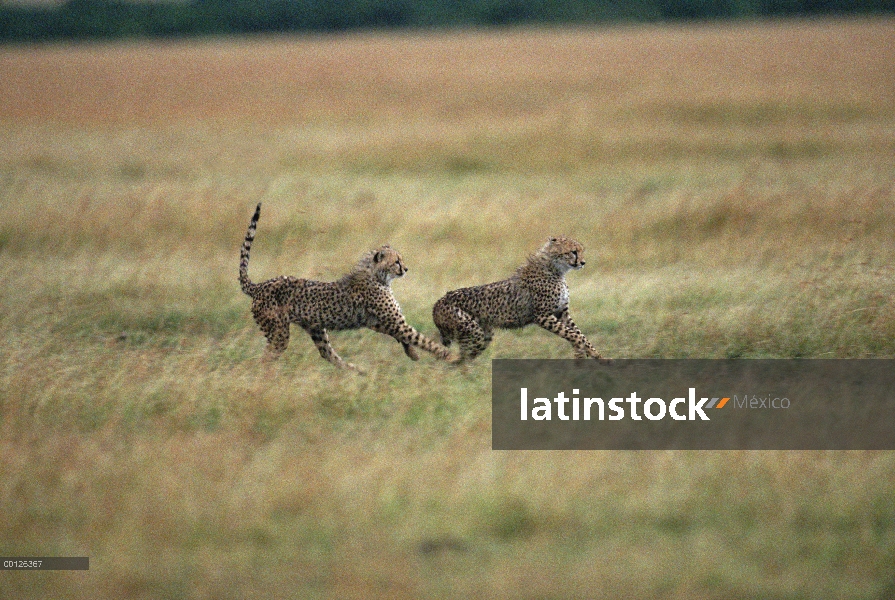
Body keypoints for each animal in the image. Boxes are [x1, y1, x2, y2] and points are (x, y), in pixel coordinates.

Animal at [238, 203, 456, 370]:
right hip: (279, 332)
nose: (406, 269)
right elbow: (421, 339)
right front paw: (447, 355)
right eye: (397, 262)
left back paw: (355, 370)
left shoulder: (377, 322)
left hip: (316, 329)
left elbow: (407, 338)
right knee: (266, 356)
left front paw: (412, 354)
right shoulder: (393, 321)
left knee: (327, 354)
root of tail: (259, 286)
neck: (377, 276)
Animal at [432, 237, 608, 360]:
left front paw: (595, 355)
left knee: (464, 357)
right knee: (460, 359)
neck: (555, 269)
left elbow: (579, 334)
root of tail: (438, 302)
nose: (583, 262)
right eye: (573, 252)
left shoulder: (561, 312)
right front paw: (581, 352)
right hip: (473, 331)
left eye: (581, 251)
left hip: (483, 333)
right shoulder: (542, 316)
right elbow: (574, 335)